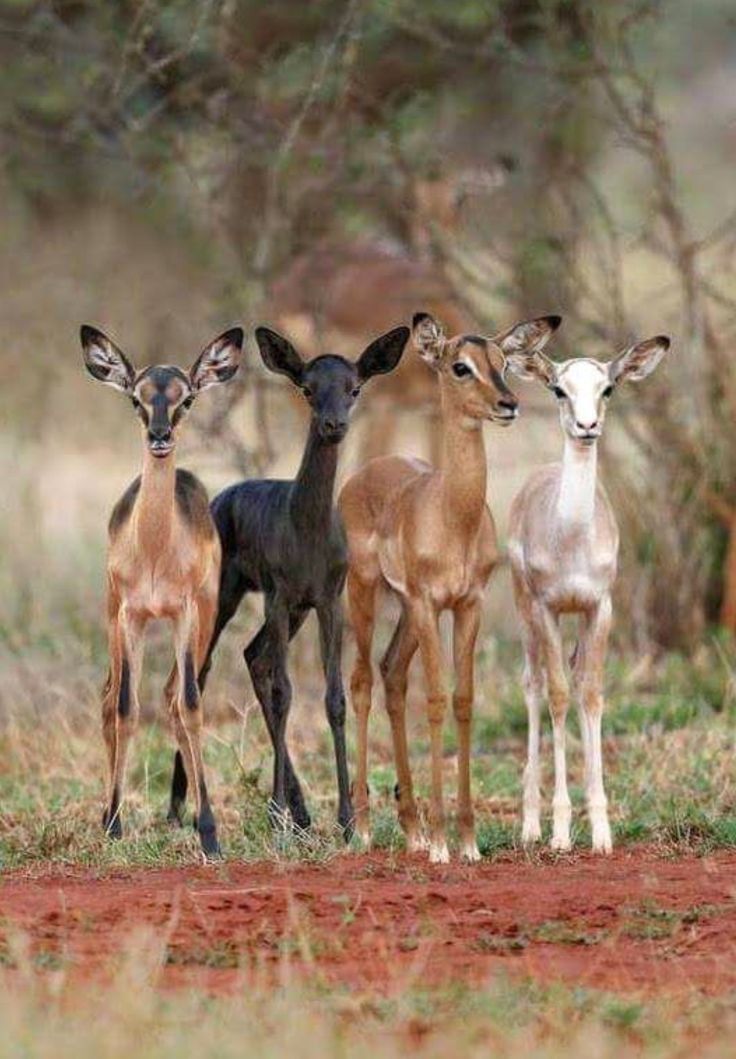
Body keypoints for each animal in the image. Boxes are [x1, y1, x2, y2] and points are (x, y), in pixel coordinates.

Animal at [81, 324, 243, 859]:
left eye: (186, 398)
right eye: (137, 397)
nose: (159, 437)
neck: (153, 550)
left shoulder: (186, 614)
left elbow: (189, 705)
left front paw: (210, 832)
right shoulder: (128, 615)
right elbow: (126, 707)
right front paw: (113, 824)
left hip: (203, 622)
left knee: (175, 696)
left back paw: (189, 818)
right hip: (115, 620)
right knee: (110, 696)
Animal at [169, 326, 410, 838]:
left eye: (353, 388)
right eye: (307, 388)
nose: (333, 425)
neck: (307, 531)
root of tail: (219, 500)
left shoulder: (326, 601)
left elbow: (334, 697)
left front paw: (345, 819)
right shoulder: (278, 597)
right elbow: (284, 693)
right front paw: (276, 813)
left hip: (292, 612)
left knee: (253, 657)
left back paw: (299, 813)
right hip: (223, 599)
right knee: (199, 674)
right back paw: (182, 809)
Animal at [338, 309, 559, 864]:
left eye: (503, 362)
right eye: (460, 366)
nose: (508, 404)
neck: (451, 513)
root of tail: (365, 473)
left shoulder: (465, 605)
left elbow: (462, 700)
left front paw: (467, 840)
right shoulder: (426, 601)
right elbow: (435, 700)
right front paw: (442, 843)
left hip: (409, 612)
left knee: (392, 673)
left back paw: (411, 828)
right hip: (367, 592)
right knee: (362, 681)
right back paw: (365, 828)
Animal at [510, 334, 669, 855]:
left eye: (608, 388)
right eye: (558, 389)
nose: (586, 427)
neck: (573, 539)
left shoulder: (600, 607)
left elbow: (592, 693)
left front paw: (601, 830)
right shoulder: (547, 607)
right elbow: (559, 696)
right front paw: (560, 831)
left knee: (577, 680)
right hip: (526, 615)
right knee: (534, 685)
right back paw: (530, 824)